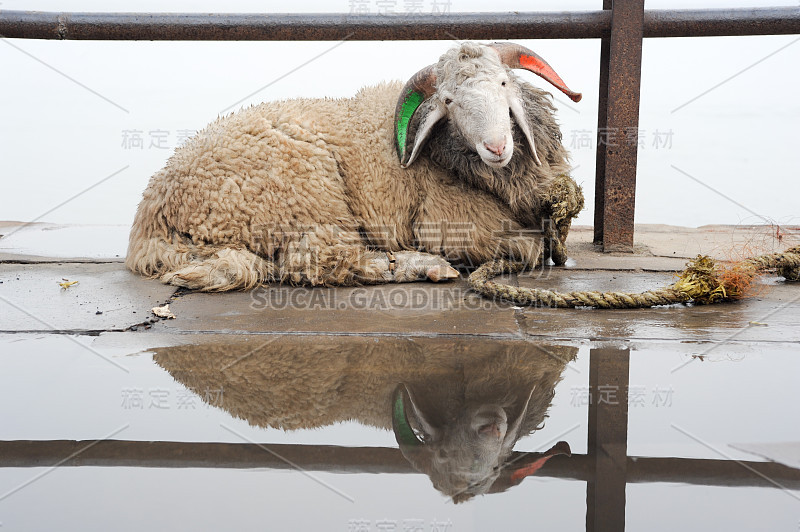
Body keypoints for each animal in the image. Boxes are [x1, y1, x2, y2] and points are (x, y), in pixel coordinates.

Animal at [128, 41, 584, 290]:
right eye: (449, 101)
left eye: (504, 83)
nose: (495, 146)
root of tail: (151, 219)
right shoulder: (449, 218)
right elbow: (529, 247)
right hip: (305, 191)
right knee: (314, 261)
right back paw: (418, 265)